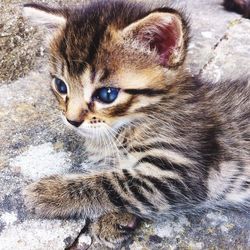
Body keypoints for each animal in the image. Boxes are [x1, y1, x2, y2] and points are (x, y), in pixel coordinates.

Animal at [22, 0, 249, 248]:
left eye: (107, 94)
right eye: (61, 86)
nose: (72, 120)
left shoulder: (179, 169)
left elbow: (114, 183)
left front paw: (50, 192)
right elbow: (119, 174)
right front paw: (116, 220)